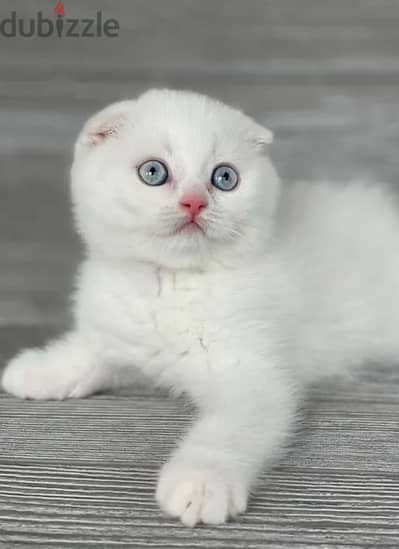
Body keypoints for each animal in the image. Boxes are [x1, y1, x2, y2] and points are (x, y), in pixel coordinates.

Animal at [3, 89, 399, 528]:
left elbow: (224, 432)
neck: (171, 285)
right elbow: (91, 349)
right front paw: (39, 369)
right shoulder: (123, 333)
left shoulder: (251, 377)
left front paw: (201, 483)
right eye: (153, 172)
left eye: (224, 178)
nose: (194, 202)